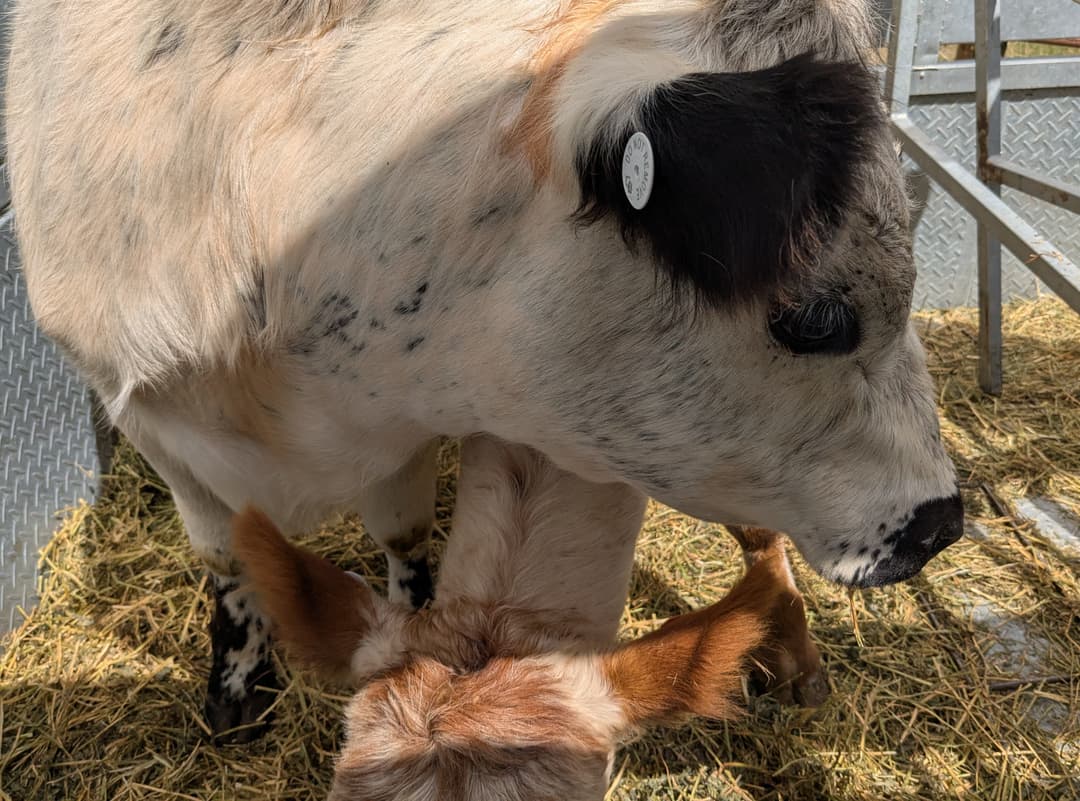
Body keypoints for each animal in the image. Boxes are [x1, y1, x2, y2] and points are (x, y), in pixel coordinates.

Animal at [6, 0, 963, 738]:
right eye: (815, 318)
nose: (943, 523)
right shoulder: (159, 426)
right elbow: (226, 558)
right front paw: (239, 685)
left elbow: (404, 535)